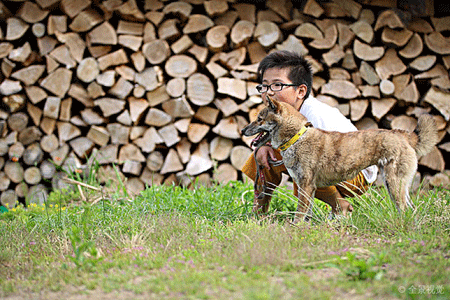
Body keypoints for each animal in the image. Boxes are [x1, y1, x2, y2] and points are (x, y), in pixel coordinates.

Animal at [241, 96, 438, 223]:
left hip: (394, 184)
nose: (242, 130)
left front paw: (294, 229)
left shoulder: (306, 185)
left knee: (404, 209)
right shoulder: (308, 188)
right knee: (411, 209)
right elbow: (306, 214)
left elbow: (299, 214)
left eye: (259, 119)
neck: (297, 137)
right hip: (398, 186)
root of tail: (403, 134)